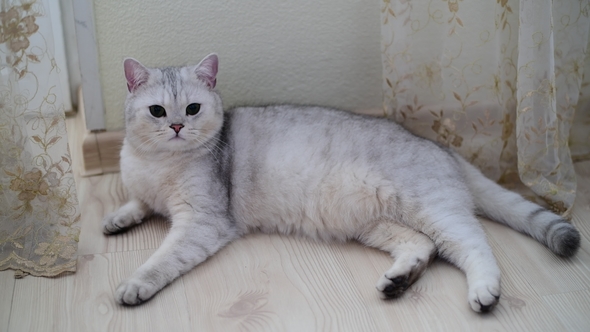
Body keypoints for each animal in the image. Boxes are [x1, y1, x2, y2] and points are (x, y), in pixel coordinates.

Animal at [103, 53, 584, 312]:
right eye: (157, 112)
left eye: (194, 108)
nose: (178, 127)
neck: (159, 164)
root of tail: (442, 149)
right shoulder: (146, 189)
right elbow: (138, 201)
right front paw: (117, 219)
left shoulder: (203, 220)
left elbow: (161, 259)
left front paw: (134, 285)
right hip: (375, 222)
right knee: (422, 246)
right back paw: (399, 280)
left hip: (432, 208)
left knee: (474, 244)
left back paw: (485, 291)